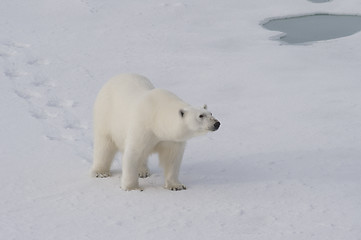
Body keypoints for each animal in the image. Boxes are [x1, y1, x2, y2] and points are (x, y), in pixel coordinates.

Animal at [90, 74, 219, 190]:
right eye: (201, 116)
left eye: (211, 113)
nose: (217, 123)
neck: (157, 119)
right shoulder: (142, 127)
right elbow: (133, 153)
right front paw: (132, 187)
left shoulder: (171, 139)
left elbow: (172, 158)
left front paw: (176, 186)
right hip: (106, 115)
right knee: (104, 145)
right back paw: (100, 172)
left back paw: (142, 171)